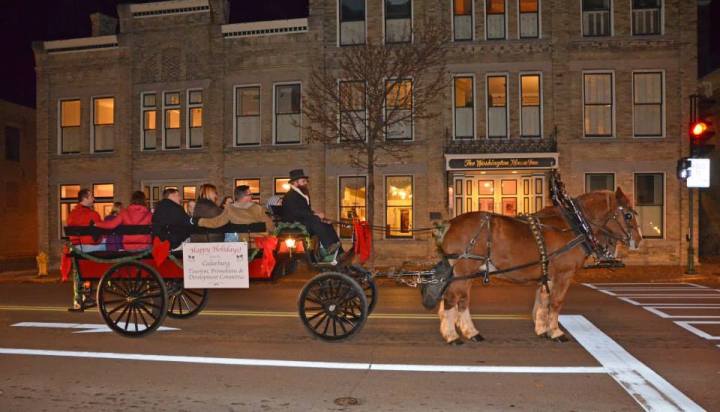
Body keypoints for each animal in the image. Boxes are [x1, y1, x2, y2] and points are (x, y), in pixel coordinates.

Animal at [436, 189, 644, 344]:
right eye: (627, 215)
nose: (639, 240)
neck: (575, 226)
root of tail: (450, 223)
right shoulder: (563, 274)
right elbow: (556, 302)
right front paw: (556, 332)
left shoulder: (549, 276)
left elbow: (544, 301)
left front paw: (543, 330)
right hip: (463, 270)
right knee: (451, 299)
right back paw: (452, 336)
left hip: (467, 273)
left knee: (463, 300)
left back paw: (471, 332)